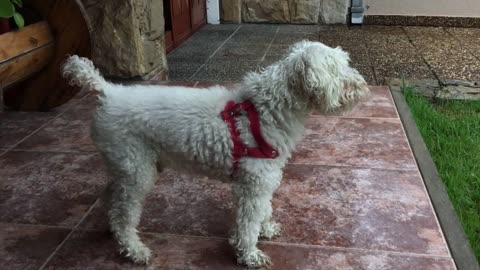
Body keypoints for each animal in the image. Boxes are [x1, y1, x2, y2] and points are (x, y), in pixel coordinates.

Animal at [60, 40, 368, 268]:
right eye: (338, 68)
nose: (363, 85)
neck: (265, 111)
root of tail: (108, 92)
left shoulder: (263, 180)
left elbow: (263, 209)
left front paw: (266, 228)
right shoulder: (254, 183)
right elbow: (248, 222)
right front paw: (249, 254)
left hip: (128, 165)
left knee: (113, 200)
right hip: (137, 170)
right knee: (125, 213)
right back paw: (134, 250)